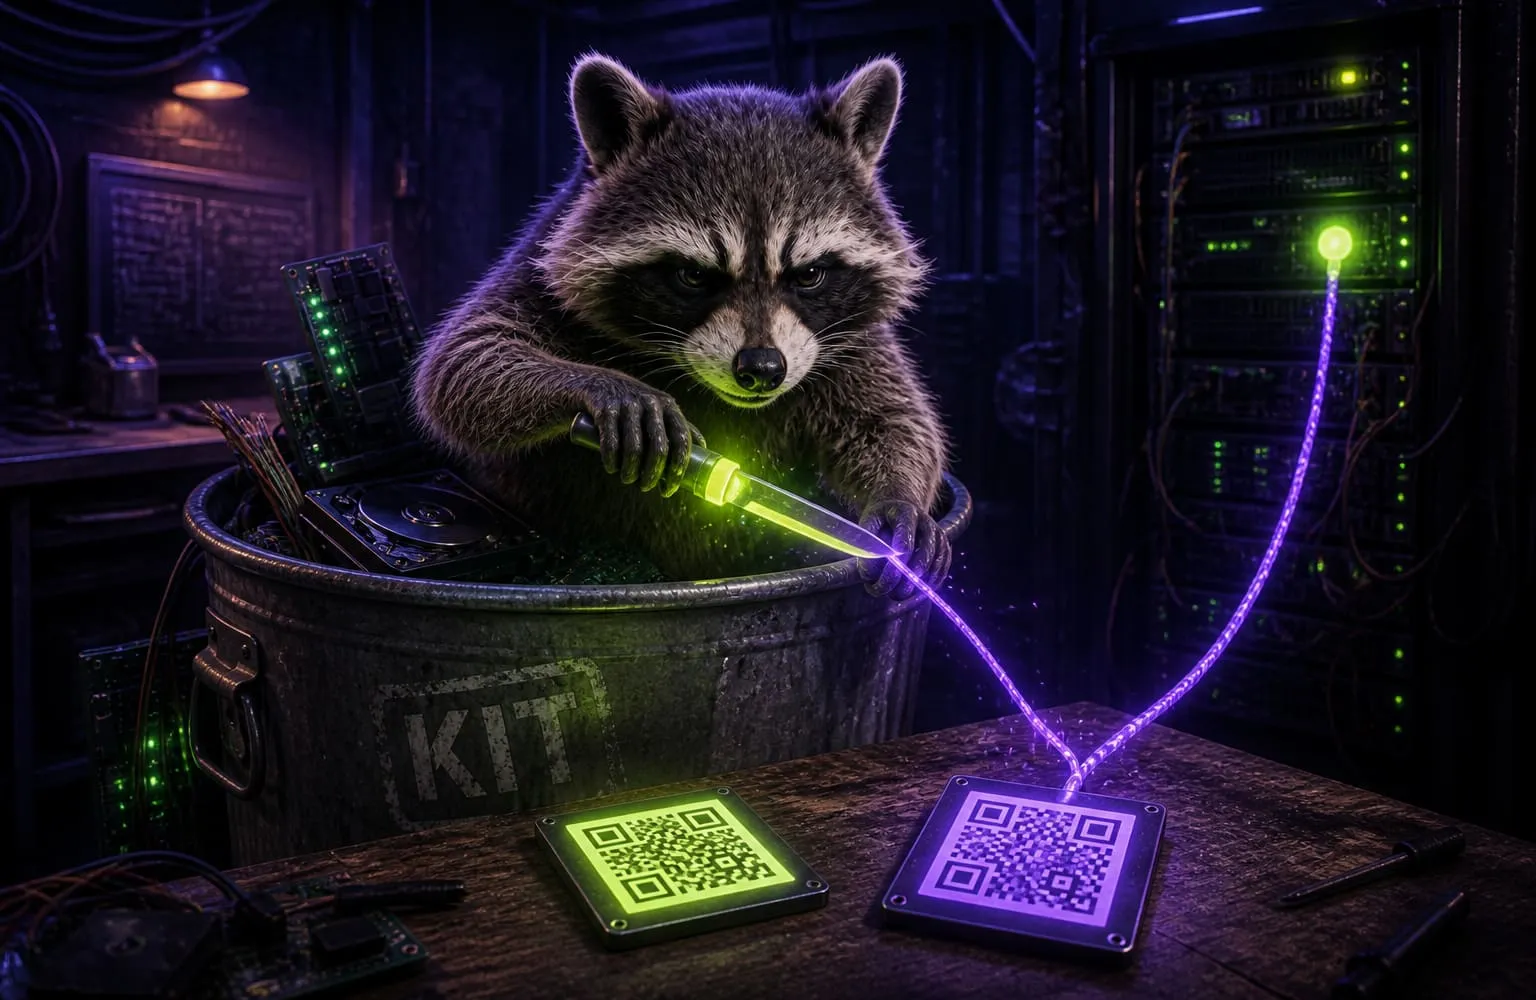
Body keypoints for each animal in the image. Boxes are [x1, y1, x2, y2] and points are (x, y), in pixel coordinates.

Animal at [409, 53, 950, 598]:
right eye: (693, 276)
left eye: (810, 274)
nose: (761, 368)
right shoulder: (540, 265)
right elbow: (465, 360)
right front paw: (606, 386)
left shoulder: (849, 338)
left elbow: (892, 416)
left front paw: (898, 497)